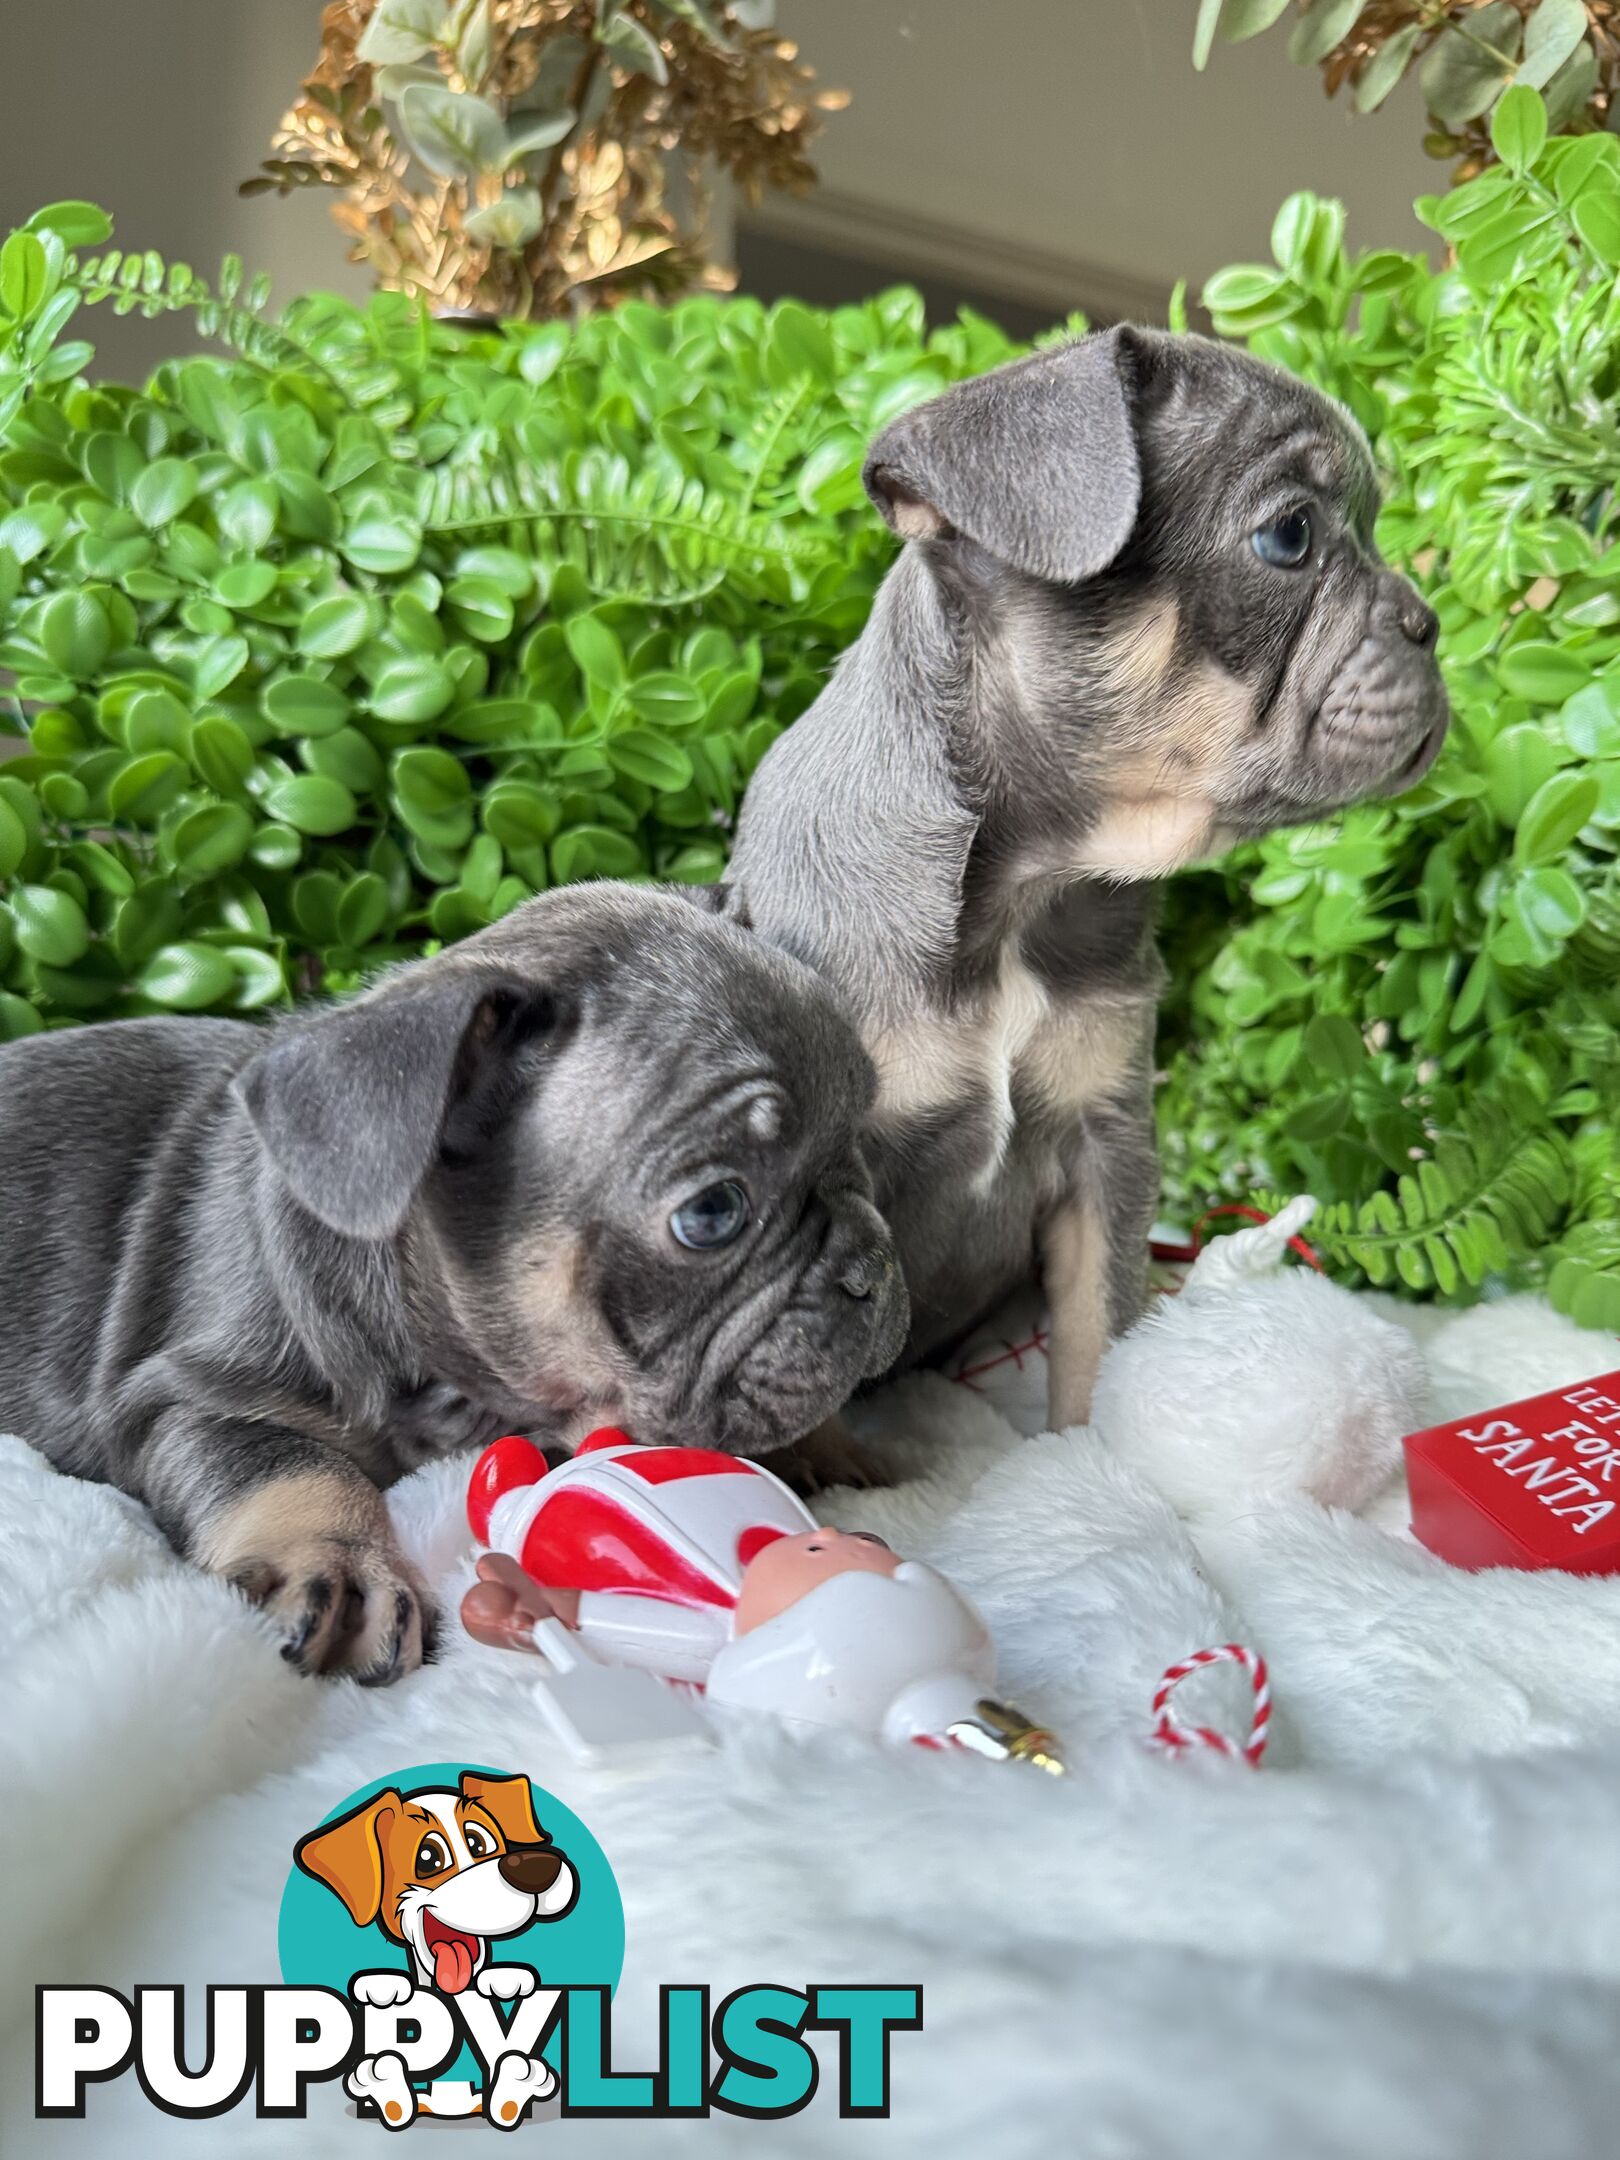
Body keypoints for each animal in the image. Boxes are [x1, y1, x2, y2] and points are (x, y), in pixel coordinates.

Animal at [0, 881, 915, 1684]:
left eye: (863, 1134)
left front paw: (830, 1444)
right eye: (714, 1211)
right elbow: (282, 1462)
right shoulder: (183, 1395)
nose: (872, 1262)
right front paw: (339, 1564)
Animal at [730, 324, 1451, 1434]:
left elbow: (1094, 1333)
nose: (1429, 624)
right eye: (1289, 538)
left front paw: (1086, 1455)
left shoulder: (1100, 1150)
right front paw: (841, 1461)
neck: (1033, 887)